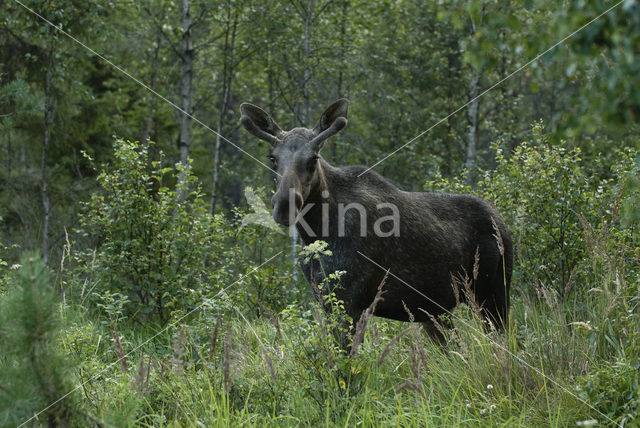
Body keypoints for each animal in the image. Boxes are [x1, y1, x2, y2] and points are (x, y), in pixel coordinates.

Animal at [240, 99, 516, 348]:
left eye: (313, 158)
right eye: (272, 158)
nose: (284, 205)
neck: (318, 232)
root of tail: (502, 222)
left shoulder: (351, 302)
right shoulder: (327, 301)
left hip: (493, 293)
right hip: (436, 311)